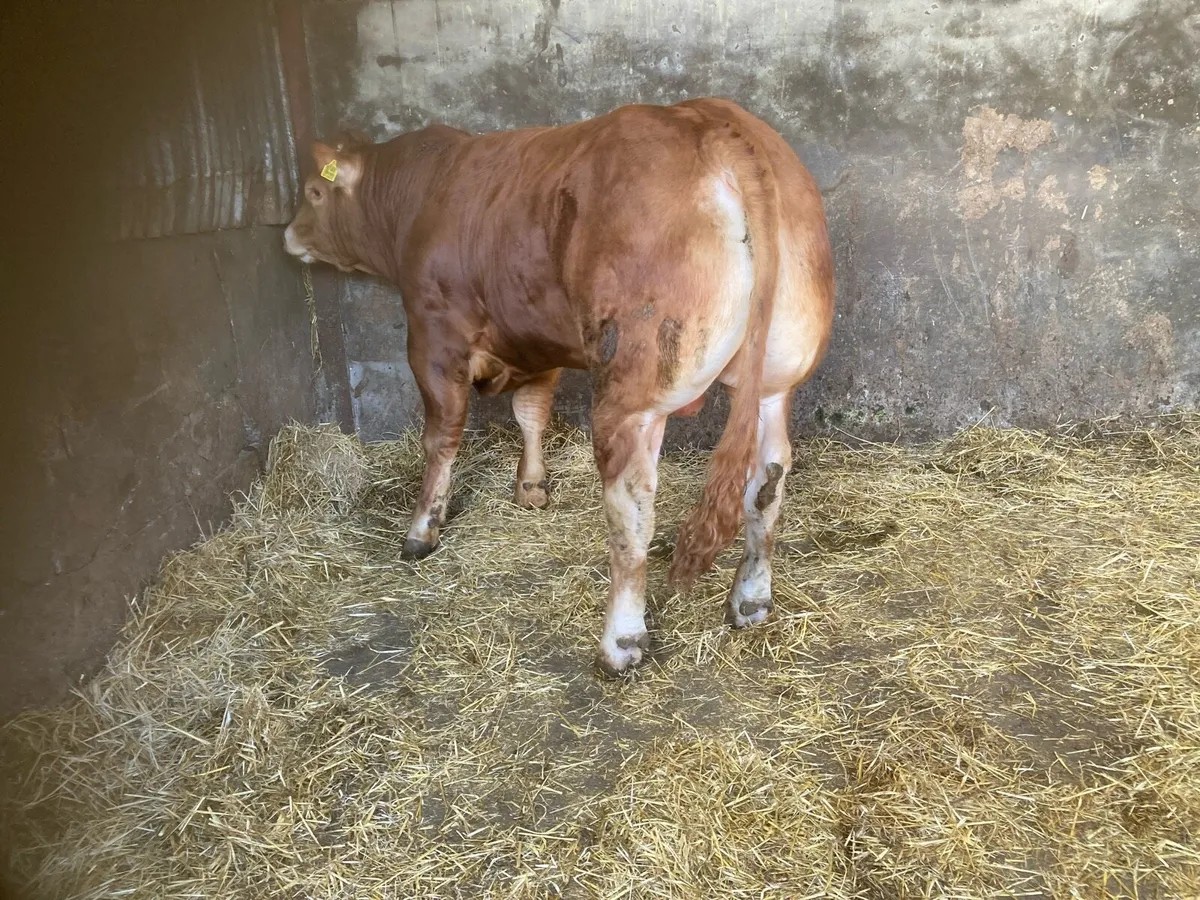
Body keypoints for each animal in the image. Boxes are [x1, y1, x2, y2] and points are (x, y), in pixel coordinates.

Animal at [283, 98, 834, 675]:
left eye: (314, 192)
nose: (288, 236)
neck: (420, 193)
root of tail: (712, 121)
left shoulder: (433, 336)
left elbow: (442, 438)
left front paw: (421, 530)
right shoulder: (536, 339)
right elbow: (531, 411)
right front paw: (531, 488)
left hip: (631, 392)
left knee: (633, 509)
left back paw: (620, 643)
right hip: (775, 378)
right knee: (768, 481)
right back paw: (750, 598)